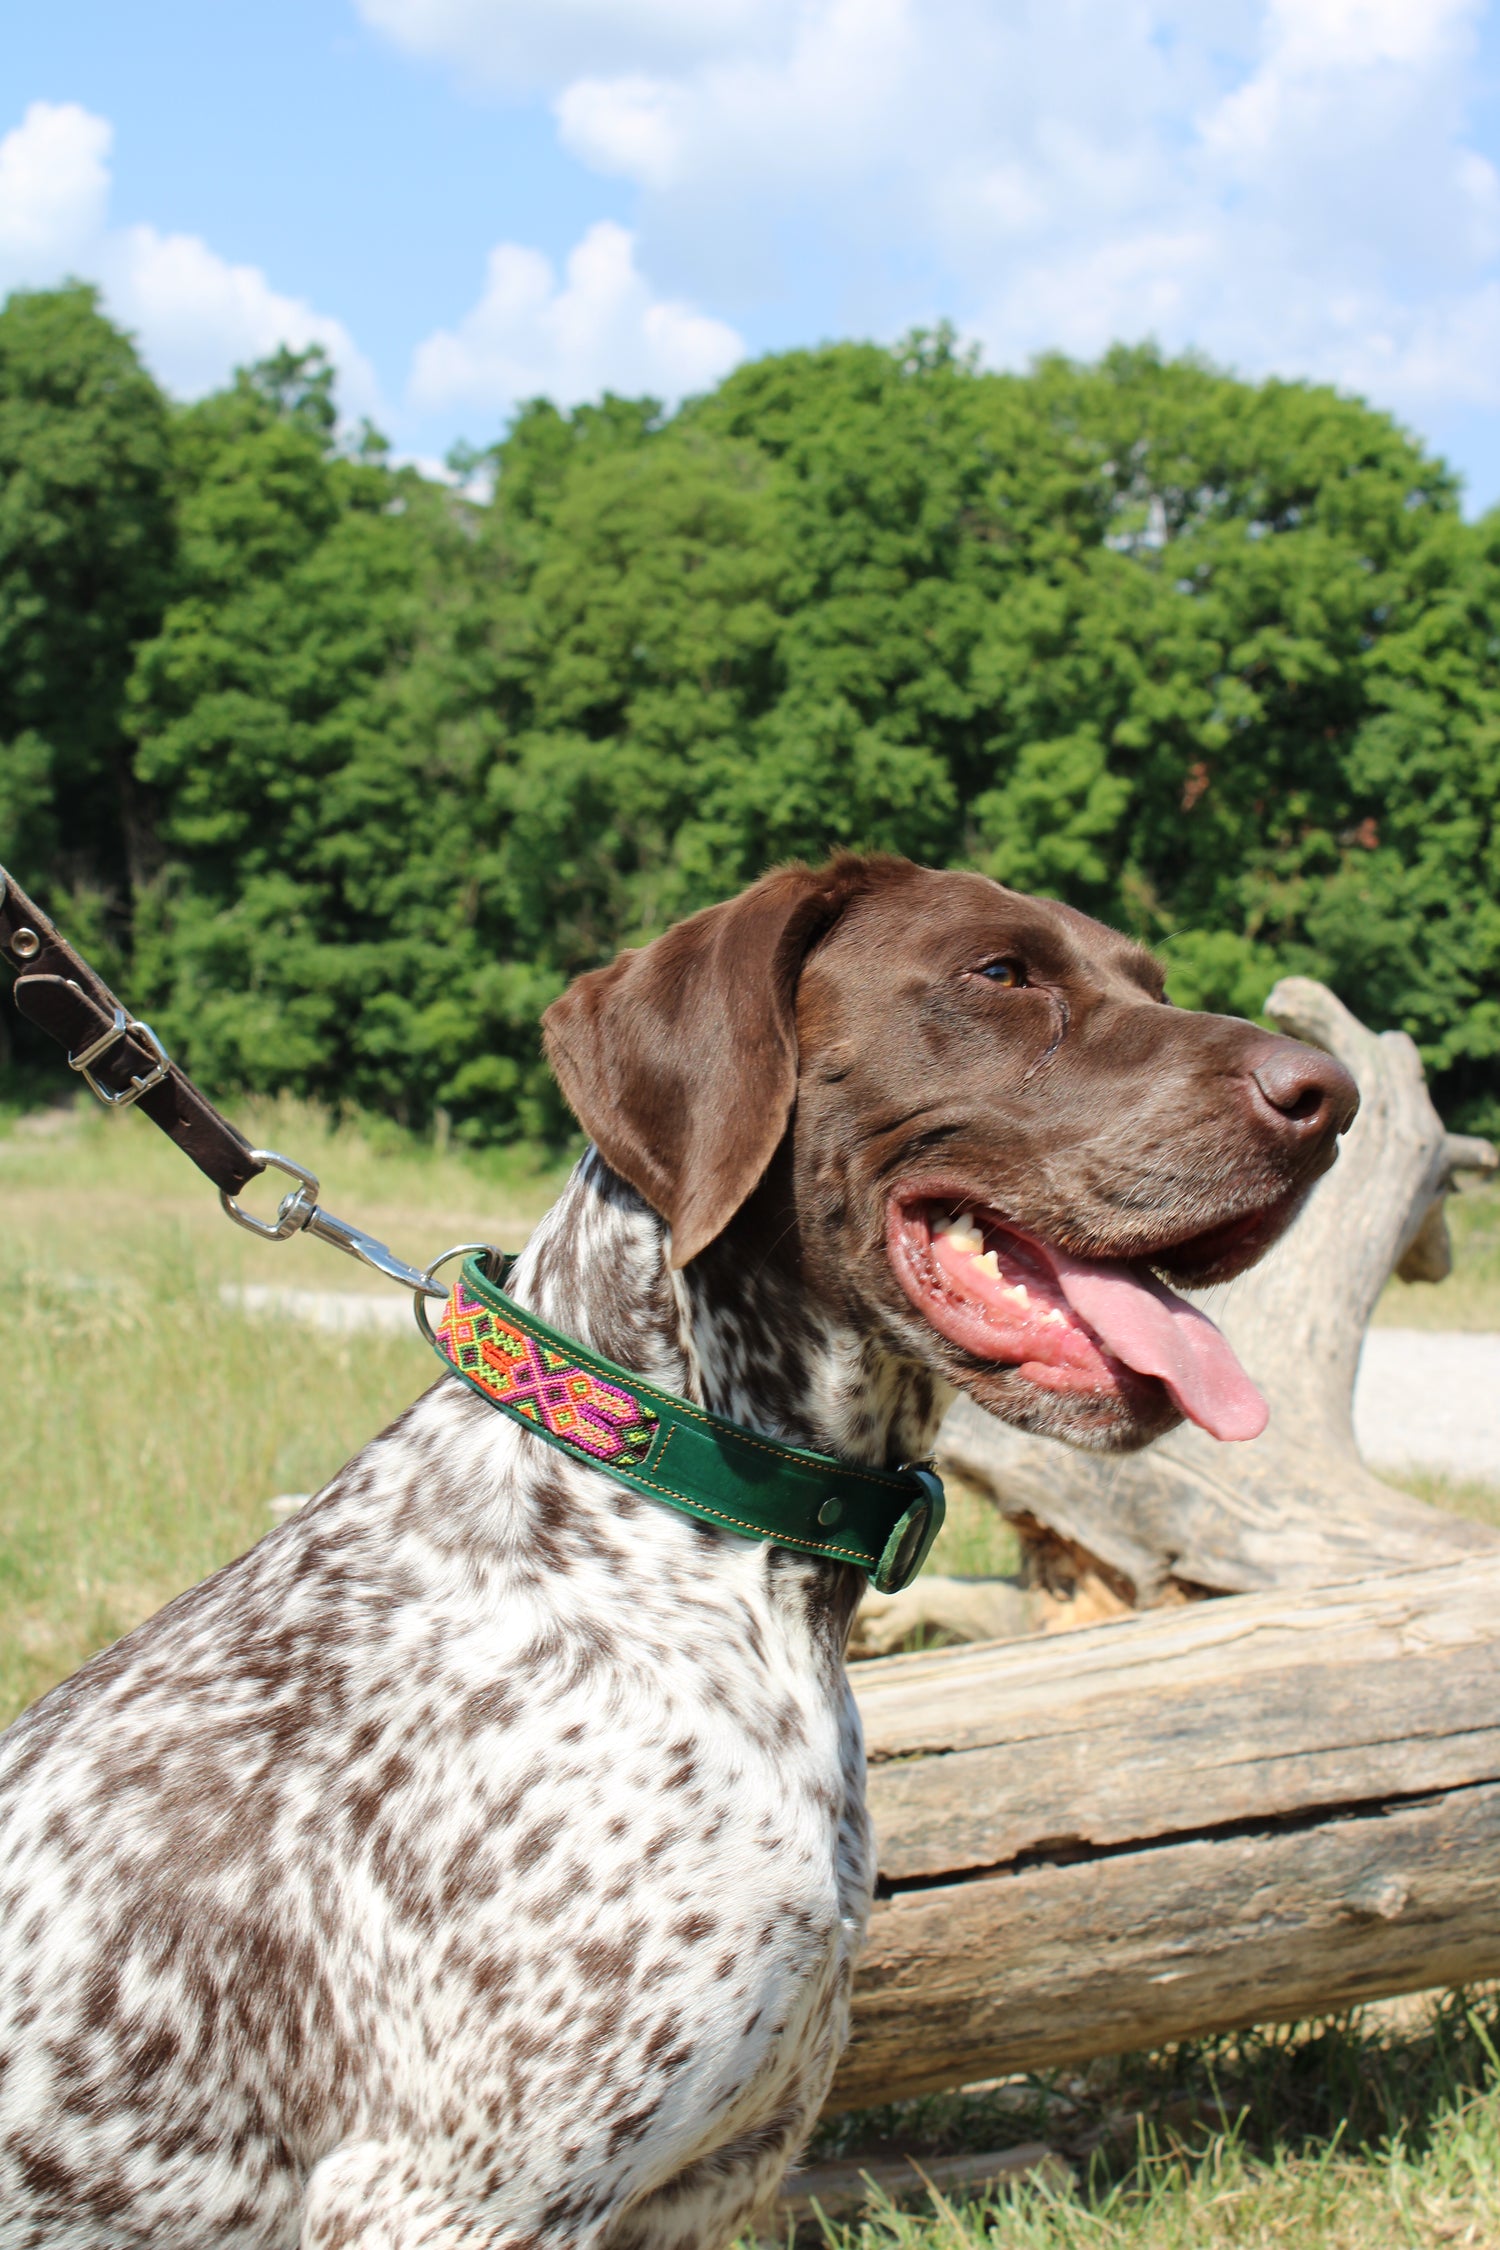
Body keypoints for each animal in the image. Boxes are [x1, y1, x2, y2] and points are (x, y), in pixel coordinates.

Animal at [0, 850, 1358, 2241]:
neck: (683, 1526)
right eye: (1000, 972)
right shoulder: (447, 2198)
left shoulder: (703, 2188)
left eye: (1149, 981)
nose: (1333, 1098)